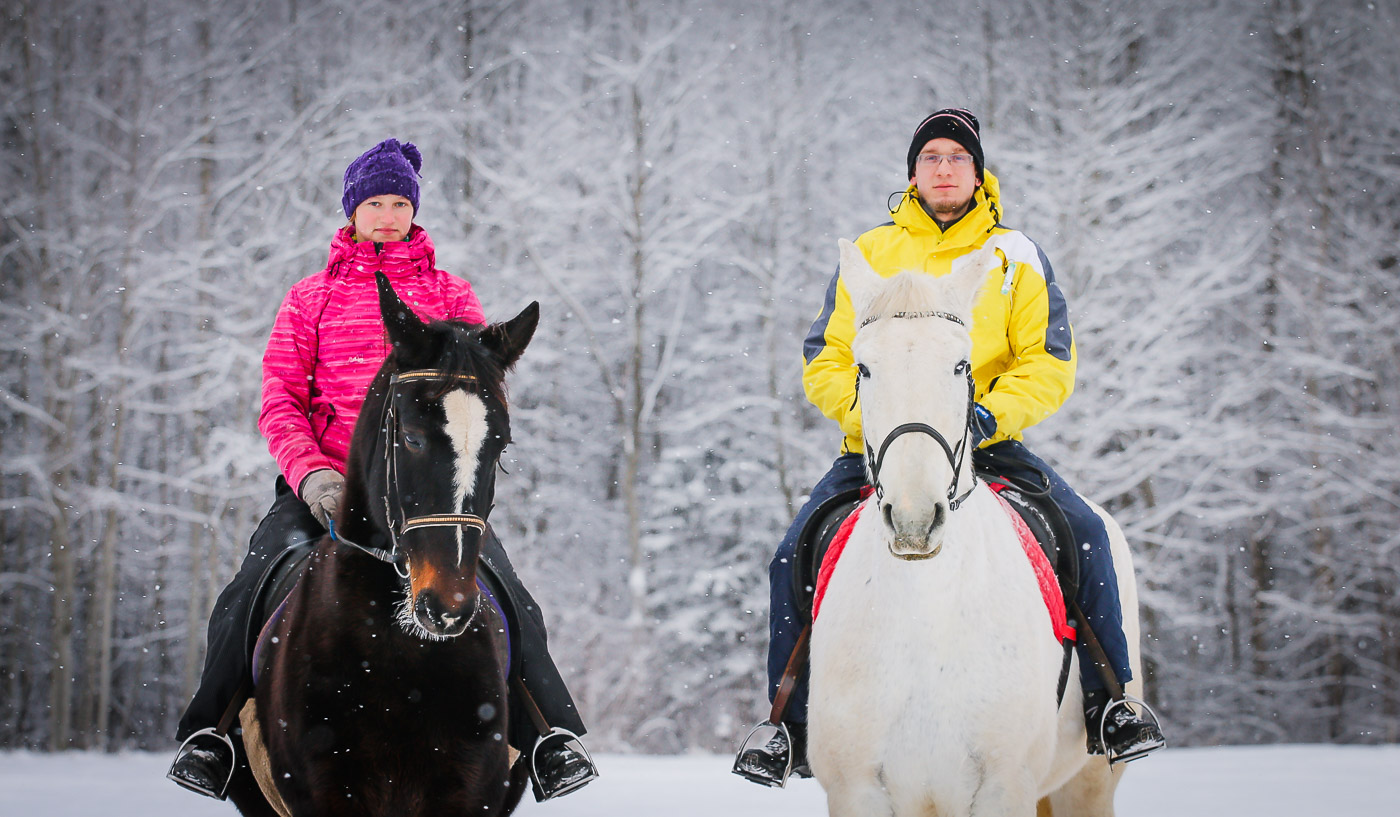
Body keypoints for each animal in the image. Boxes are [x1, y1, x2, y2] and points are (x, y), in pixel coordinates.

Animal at [806, 240, 1142, 817]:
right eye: (864, 368)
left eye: (961, 364)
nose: (915, 519)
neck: (926, 616)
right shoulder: (855, 792)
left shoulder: (1005, 788)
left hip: (1088, 784)